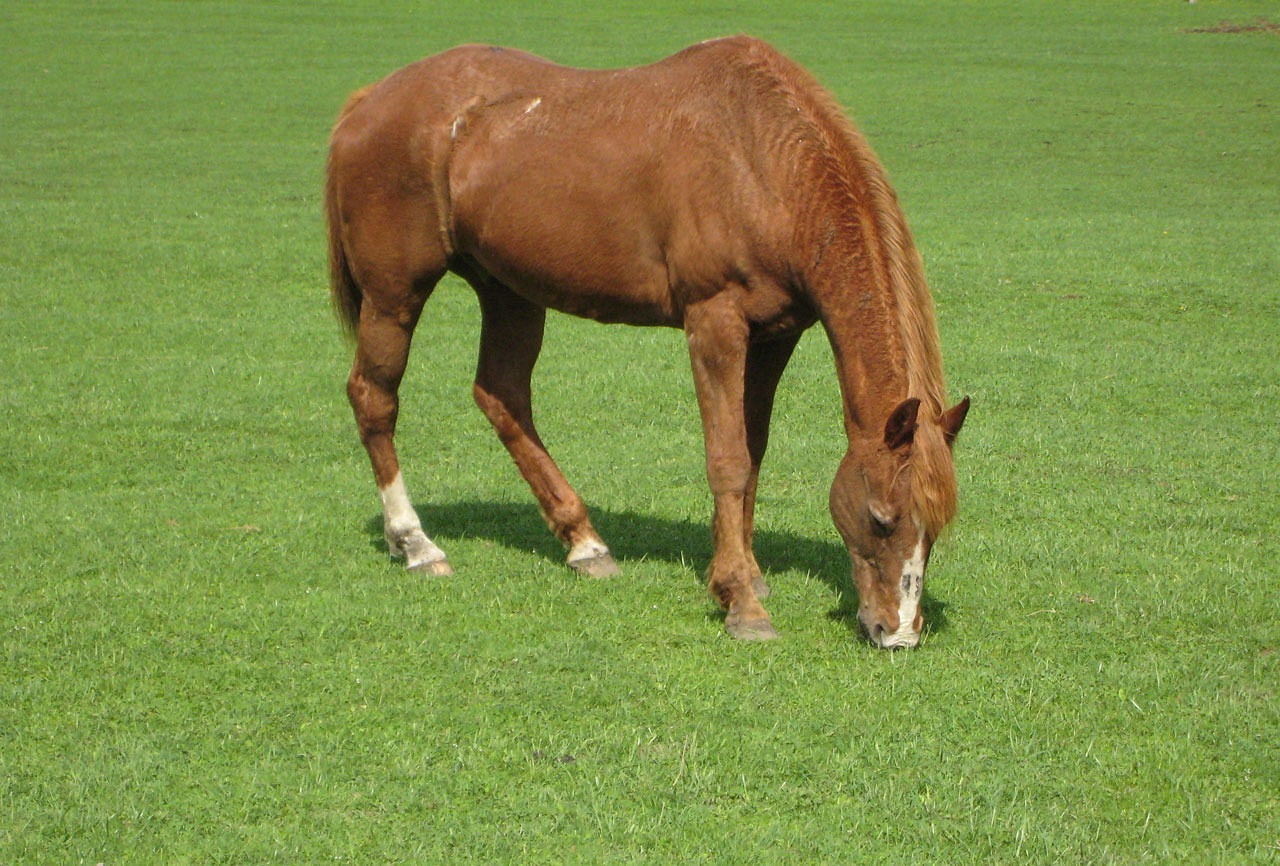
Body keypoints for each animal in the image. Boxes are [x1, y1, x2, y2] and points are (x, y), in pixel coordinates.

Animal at [325, 38, 962, 649]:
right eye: (881, 519)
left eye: (935, 528)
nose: (898, 633)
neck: (759, 159)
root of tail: (367, 101)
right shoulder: (714, 322)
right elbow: (728, 459)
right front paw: (740, 601)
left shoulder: (775, 335)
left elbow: (753, 449)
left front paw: (748, 573)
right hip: (394, 297)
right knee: (374, 399)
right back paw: (415, 544)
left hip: (509, 292)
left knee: (501, 396)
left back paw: (584, 543)